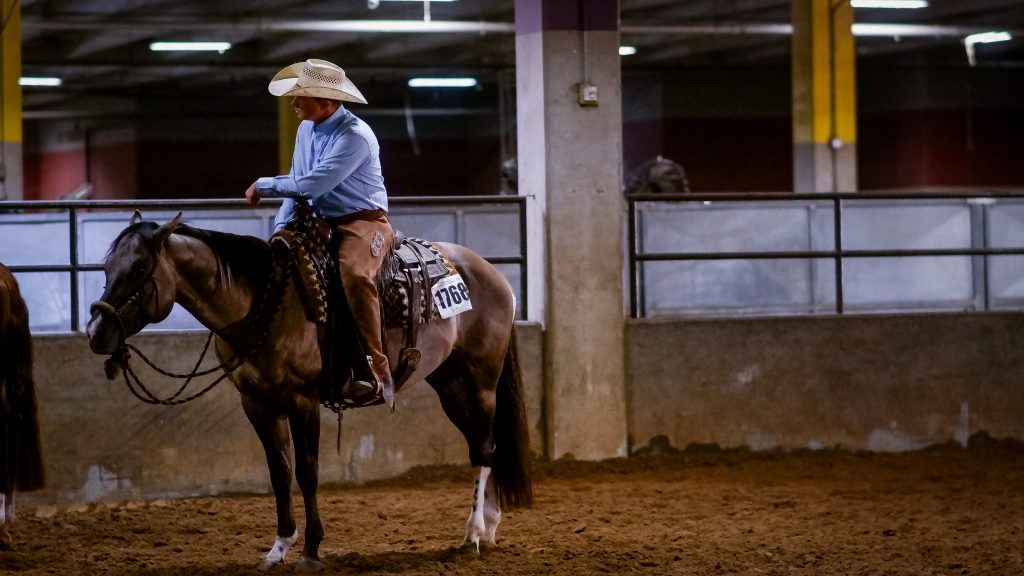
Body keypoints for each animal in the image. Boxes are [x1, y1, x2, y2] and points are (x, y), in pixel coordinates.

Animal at [85, 211, 533, 571]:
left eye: (140, 267)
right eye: (107, 266)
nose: (96, 333)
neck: (262, 302)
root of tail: (490, 272)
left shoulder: (303, 401)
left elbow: (308, 471)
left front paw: (312, 551)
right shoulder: (257, 404)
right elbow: (280, 472)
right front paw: (279, 547)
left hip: (480, 380)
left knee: (483, 449)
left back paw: (472, 535)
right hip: (449, 382)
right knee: (485, 445)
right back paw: (489, 527)